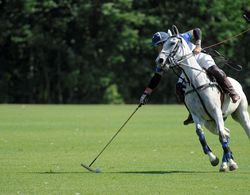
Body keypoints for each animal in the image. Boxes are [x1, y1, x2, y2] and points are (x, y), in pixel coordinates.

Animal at [156, 30, 250, 171]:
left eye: (172, 43)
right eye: (163, 44)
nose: (160, 60)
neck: (195, 81)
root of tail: (237, 83)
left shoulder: (216, 111)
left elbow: (221, 136)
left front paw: (231, 163)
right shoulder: (197, 116)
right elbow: (201, 135)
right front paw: (214, 159)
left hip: (240, 113)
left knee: (236, 131)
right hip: (210, 123)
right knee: (227, 133)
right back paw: (224, 164)